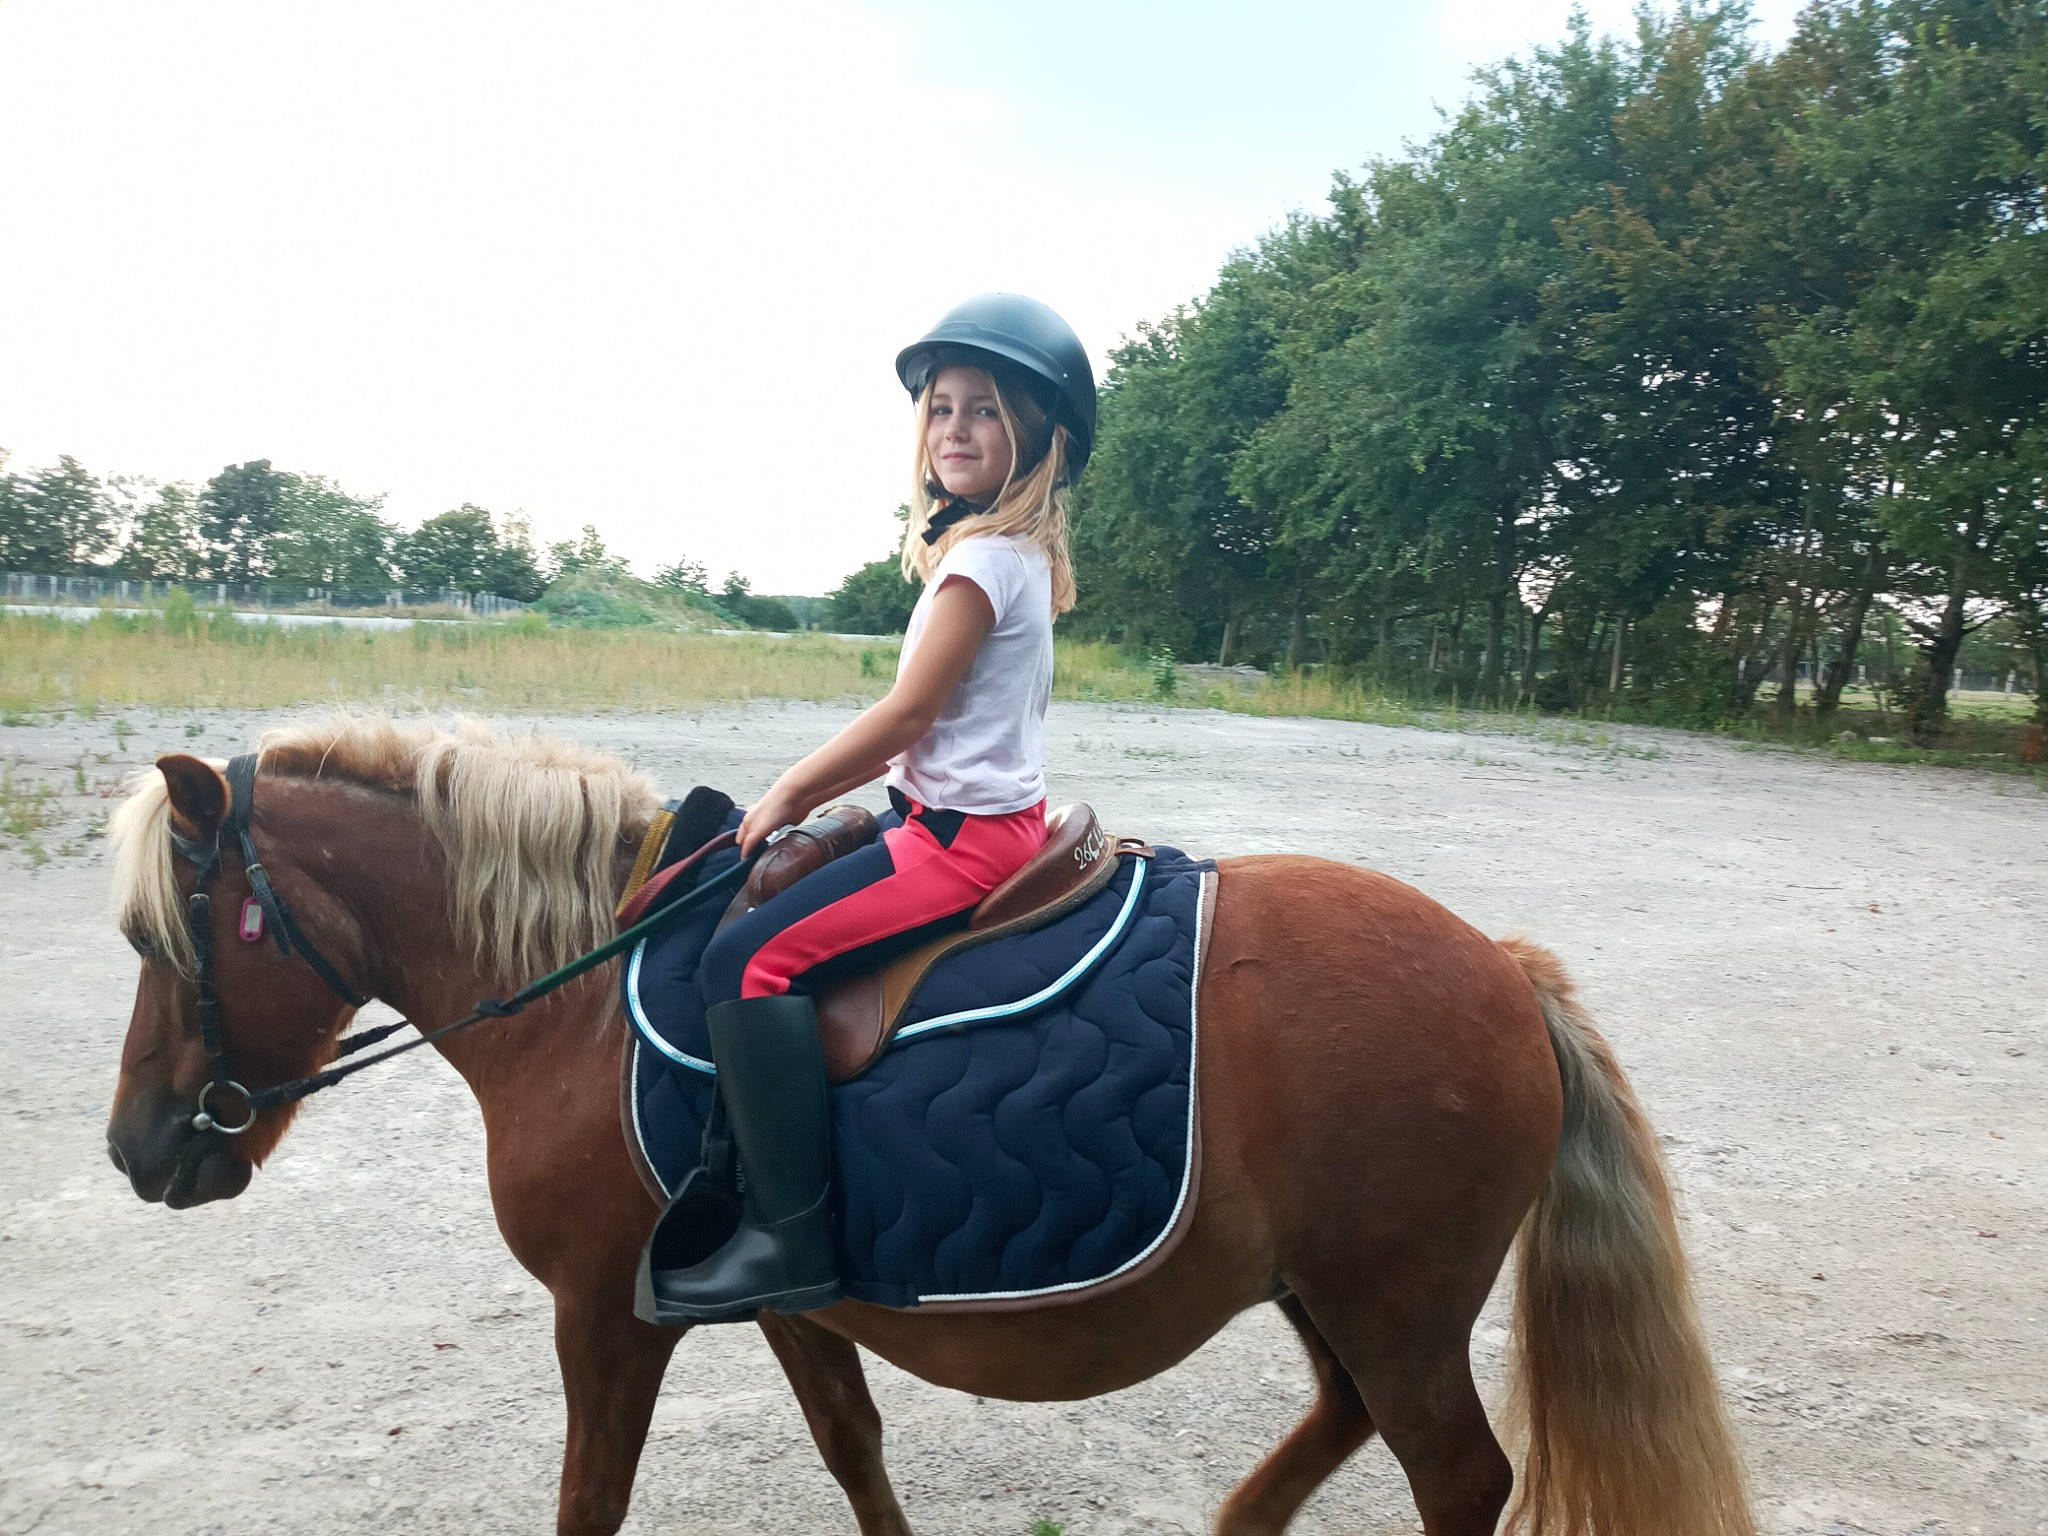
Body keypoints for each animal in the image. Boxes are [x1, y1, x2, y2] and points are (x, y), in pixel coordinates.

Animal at [102, 713, 1754, 1536]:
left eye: (156, 939)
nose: (133, 1148)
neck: (581, 995)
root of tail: (1505, 968)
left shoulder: (604, 1315)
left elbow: (592, 1501)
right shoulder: (781, 1297)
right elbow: (852, 1447)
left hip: (1393, 1301)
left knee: (1458, 1480)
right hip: (1334, 1294)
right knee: (1345, 1424)